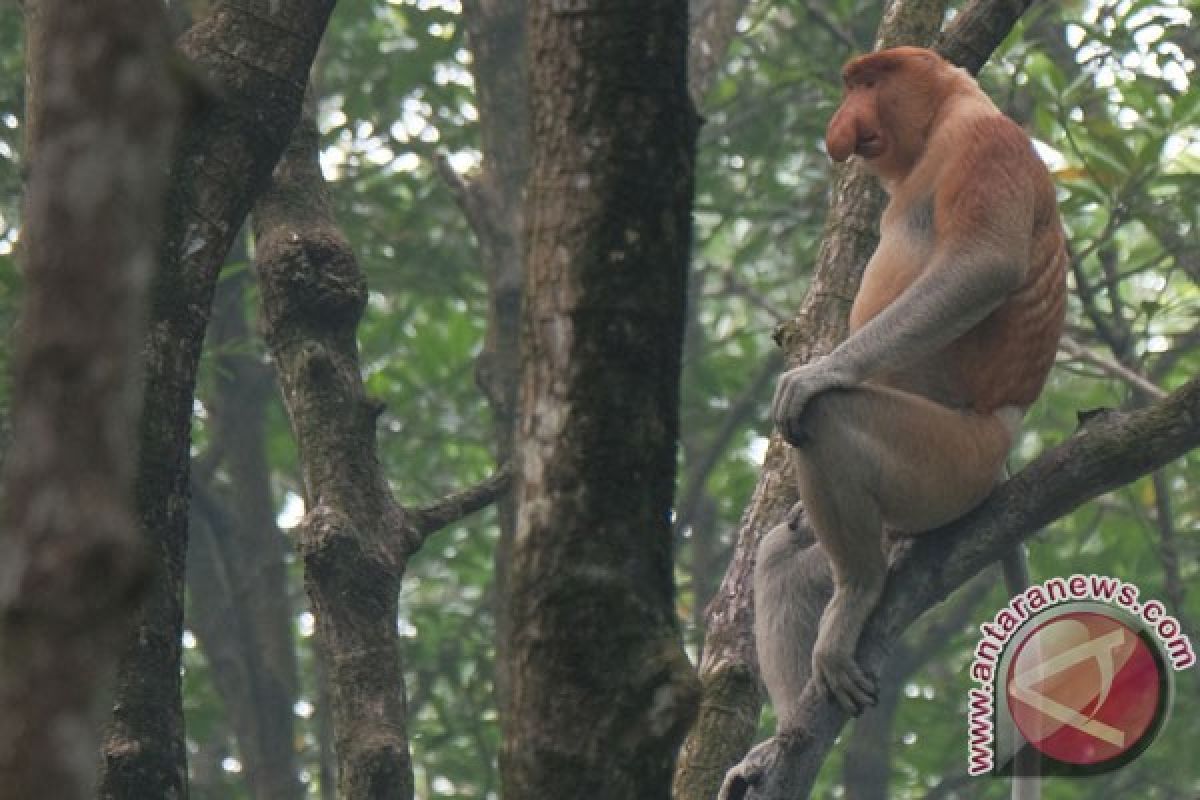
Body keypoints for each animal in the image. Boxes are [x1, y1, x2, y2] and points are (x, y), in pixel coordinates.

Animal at [763, 47, 1065, 714]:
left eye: (870, 82)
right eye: (852, 85)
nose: (841, 125)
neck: (945, 116)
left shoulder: (985, 144)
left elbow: (984, 264)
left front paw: (816, 373)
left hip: (950, 464)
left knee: (830, 419)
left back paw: (858, 592)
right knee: (781, 555)